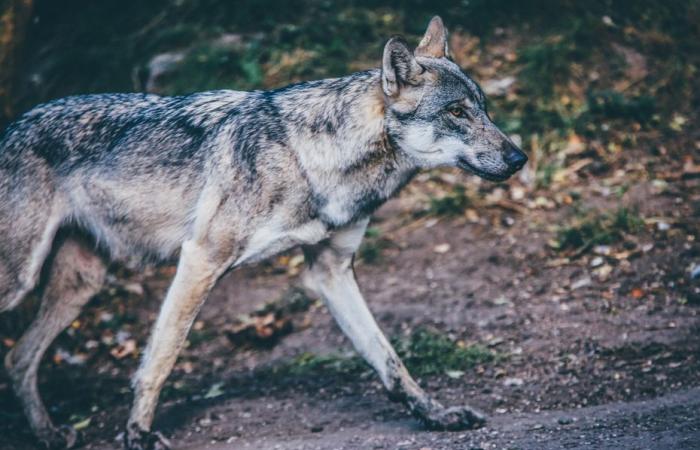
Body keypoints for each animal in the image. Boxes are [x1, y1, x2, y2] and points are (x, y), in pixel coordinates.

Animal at [0, 15, 524, 448]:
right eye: (456, 112)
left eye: (483, 109)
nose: (519, 157)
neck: (311, 158)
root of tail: (11, 125)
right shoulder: (201, 258)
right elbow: (161, 358)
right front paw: (139, 434)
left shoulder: (331, 271)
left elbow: (389, 359)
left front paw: (435, 414)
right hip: (22, 280)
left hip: (81, 285)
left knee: (19, 358)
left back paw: (48, 434)